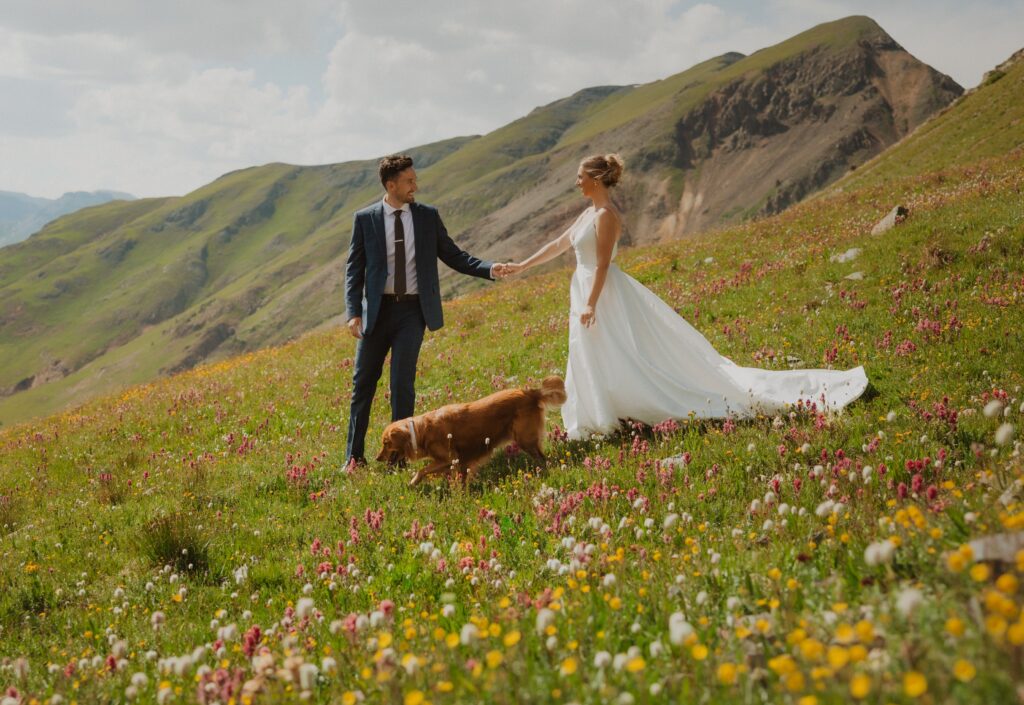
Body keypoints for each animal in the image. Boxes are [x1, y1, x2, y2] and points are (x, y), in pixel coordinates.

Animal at [376, 377, 569, 487]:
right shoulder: (459, 462)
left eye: (386, 444)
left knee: (543, 458)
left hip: (525, 439)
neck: (419, 432)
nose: (377, 458)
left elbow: (422, 470)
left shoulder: (450, 458)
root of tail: (531, 393)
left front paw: (413, 482)